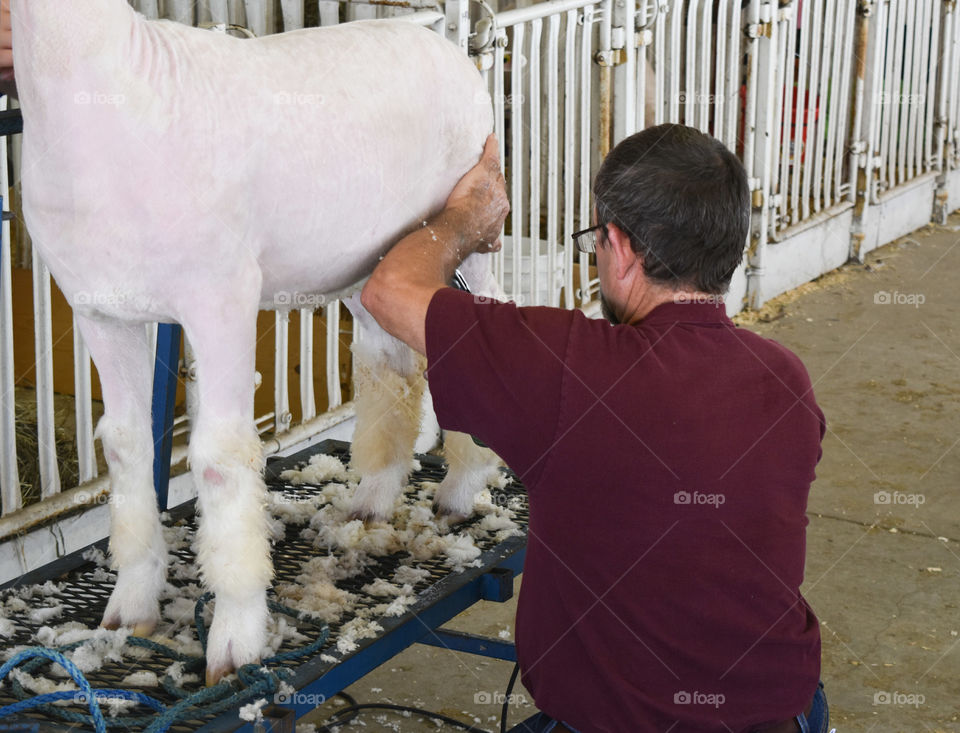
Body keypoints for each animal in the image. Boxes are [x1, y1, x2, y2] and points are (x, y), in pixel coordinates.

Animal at [15, 0, 502, 684]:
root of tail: (438, 42)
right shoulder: (100, 309)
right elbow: (126, 446)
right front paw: (128, 611)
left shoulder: (220, 296)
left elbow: (221, 459)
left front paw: (234, 639)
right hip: (369, 260)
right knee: (390, 366)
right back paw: (371, 501)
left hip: (468, 231)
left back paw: (460, 490)